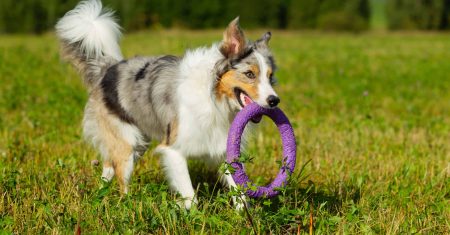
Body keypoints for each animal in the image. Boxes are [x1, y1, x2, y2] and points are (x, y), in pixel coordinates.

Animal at [55, 0, 280, 209]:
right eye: (249, 74)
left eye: (270, 77)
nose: (274, 100)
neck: (214, 96)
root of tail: (108, 68)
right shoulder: (173, 150)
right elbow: (190, 195)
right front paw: (193, 216)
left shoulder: (224, 146)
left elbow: (239, 190)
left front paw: (244, 217)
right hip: (127, 144)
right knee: (121, 177)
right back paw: (127, 205)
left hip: (138, 143)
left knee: (109, 165)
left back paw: (101, 195)